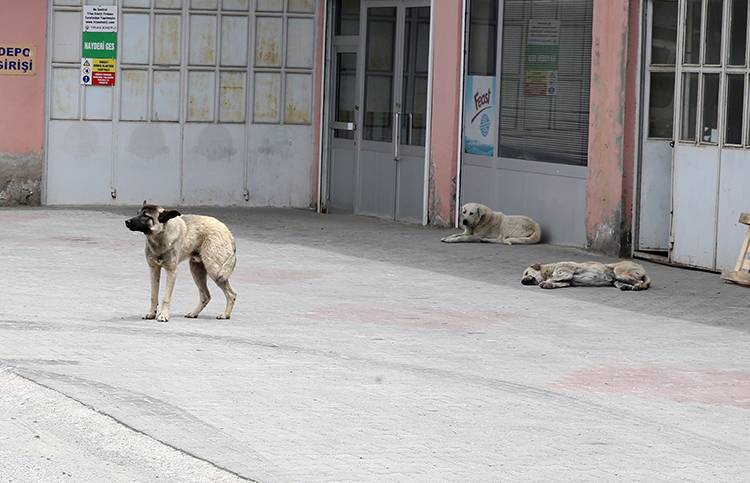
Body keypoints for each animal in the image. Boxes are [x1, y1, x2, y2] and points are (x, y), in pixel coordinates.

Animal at [524, 260, 652, 292]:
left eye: (526, 273)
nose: (521, 282)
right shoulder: (566, 281)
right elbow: (560, 283)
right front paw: (548, 284)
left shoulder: (565, 271)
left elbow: (554, 277)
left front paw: (547, 281)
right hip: (617, 279)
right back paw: (626, 287)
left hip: (620, 273)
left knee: (640, 283)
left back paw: (637, 286)